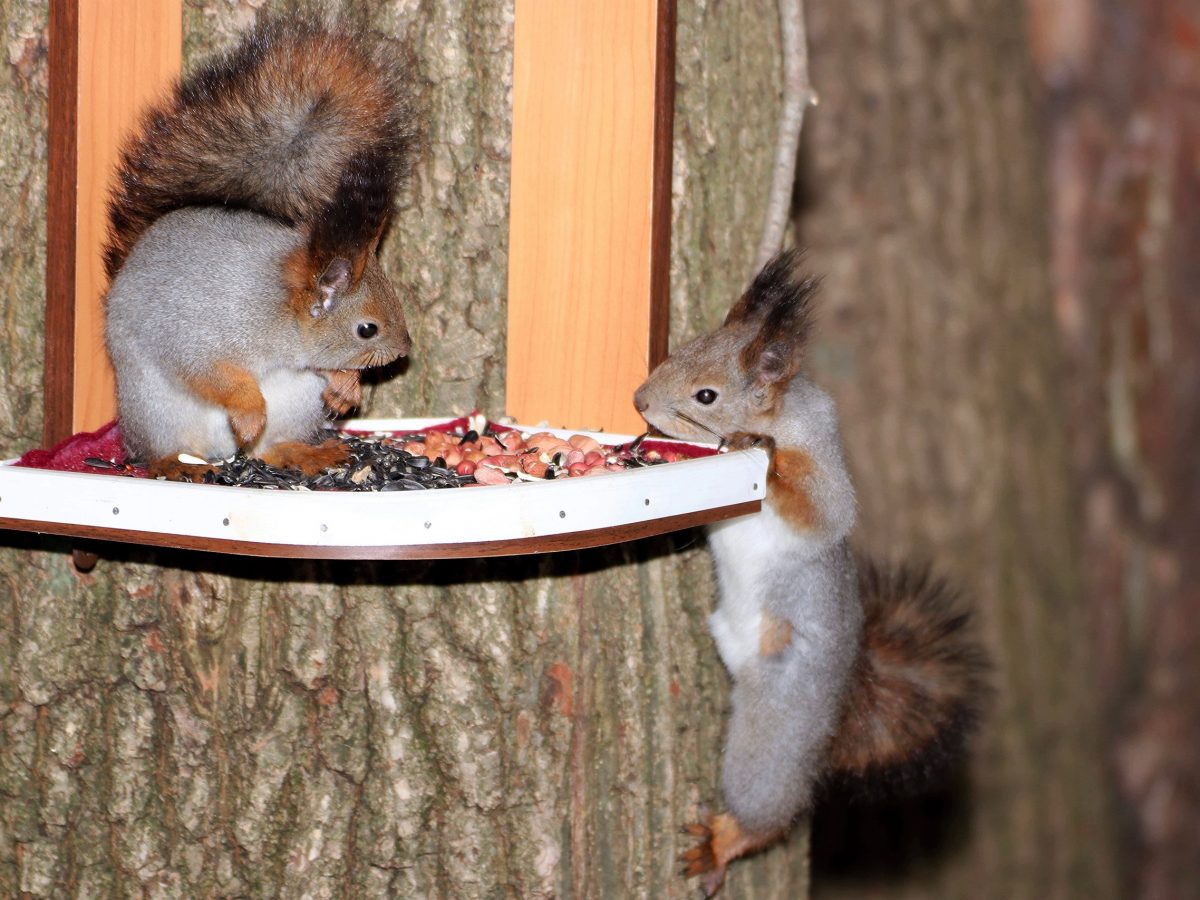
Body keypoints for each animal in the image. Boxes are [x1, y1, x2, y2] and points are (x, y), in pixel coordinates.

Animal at [104, 17, 422, 480]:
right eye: (368, 329)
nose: (404, 349)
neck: (277, 313)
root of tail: (221, 452)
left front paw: (347, 386)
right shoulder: (198, 332)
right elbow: (211, 373)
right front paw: (250, 410)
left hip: (298, 403)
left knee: (270, 450)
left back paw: (304, 453)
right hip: (154, 408)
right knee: (162, 449)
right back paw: (178, 462)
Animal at [633, 252, 988, 897]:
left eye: (706, 395)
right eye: (684, 347)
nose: (639, 400)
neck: (786, 413)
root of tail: (847, 693)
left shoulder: (825, 472)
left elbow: (820, 507)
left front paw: (758, 448)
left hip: (778, 726)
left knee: (770, 810)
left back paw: (726, 841)